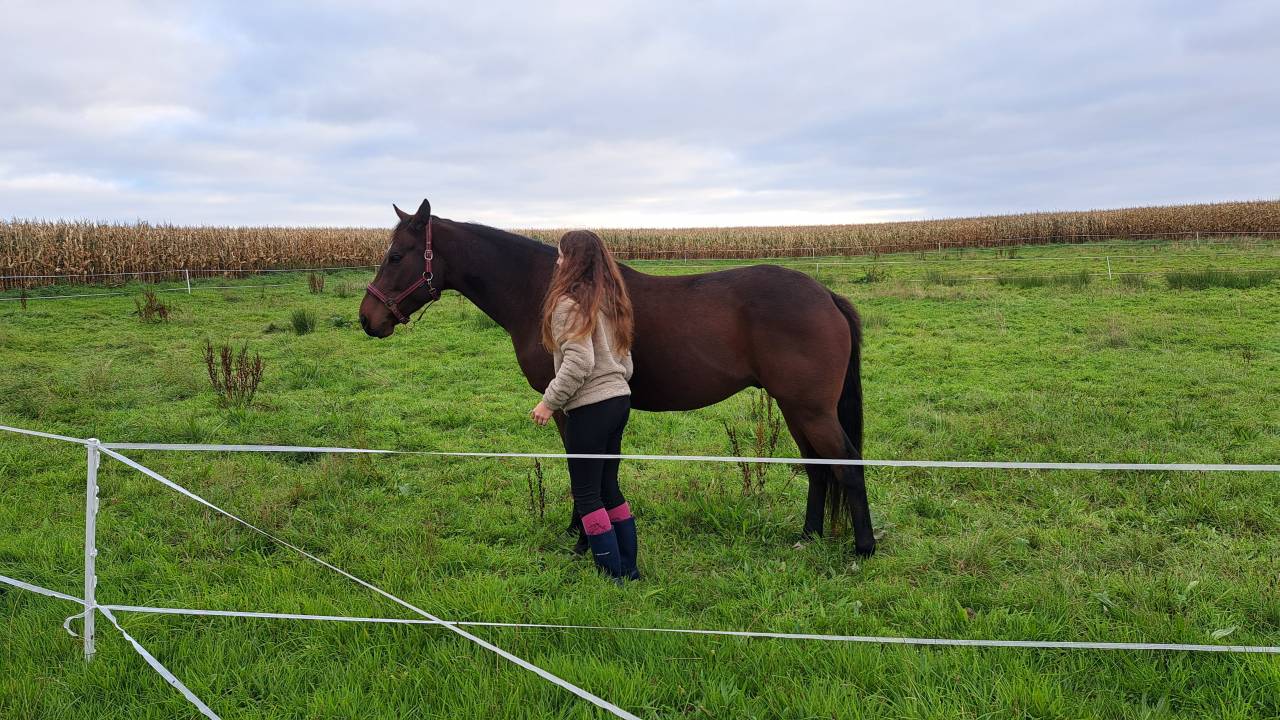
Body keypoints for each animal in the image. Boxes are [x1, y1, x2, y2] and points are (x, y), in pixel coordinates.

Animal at [360, 199, 876, 556]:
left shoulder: (568, 406)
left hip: (810, 410)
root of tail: (826, 295)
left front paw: (579, 536)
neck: (541, 290)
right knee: (818, 469)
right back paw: (807, 537)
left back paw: (862, 548)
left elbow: (580, 465)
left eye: (397, 255)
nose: (368, 319)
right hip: (795, 408)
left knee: (847, 465)